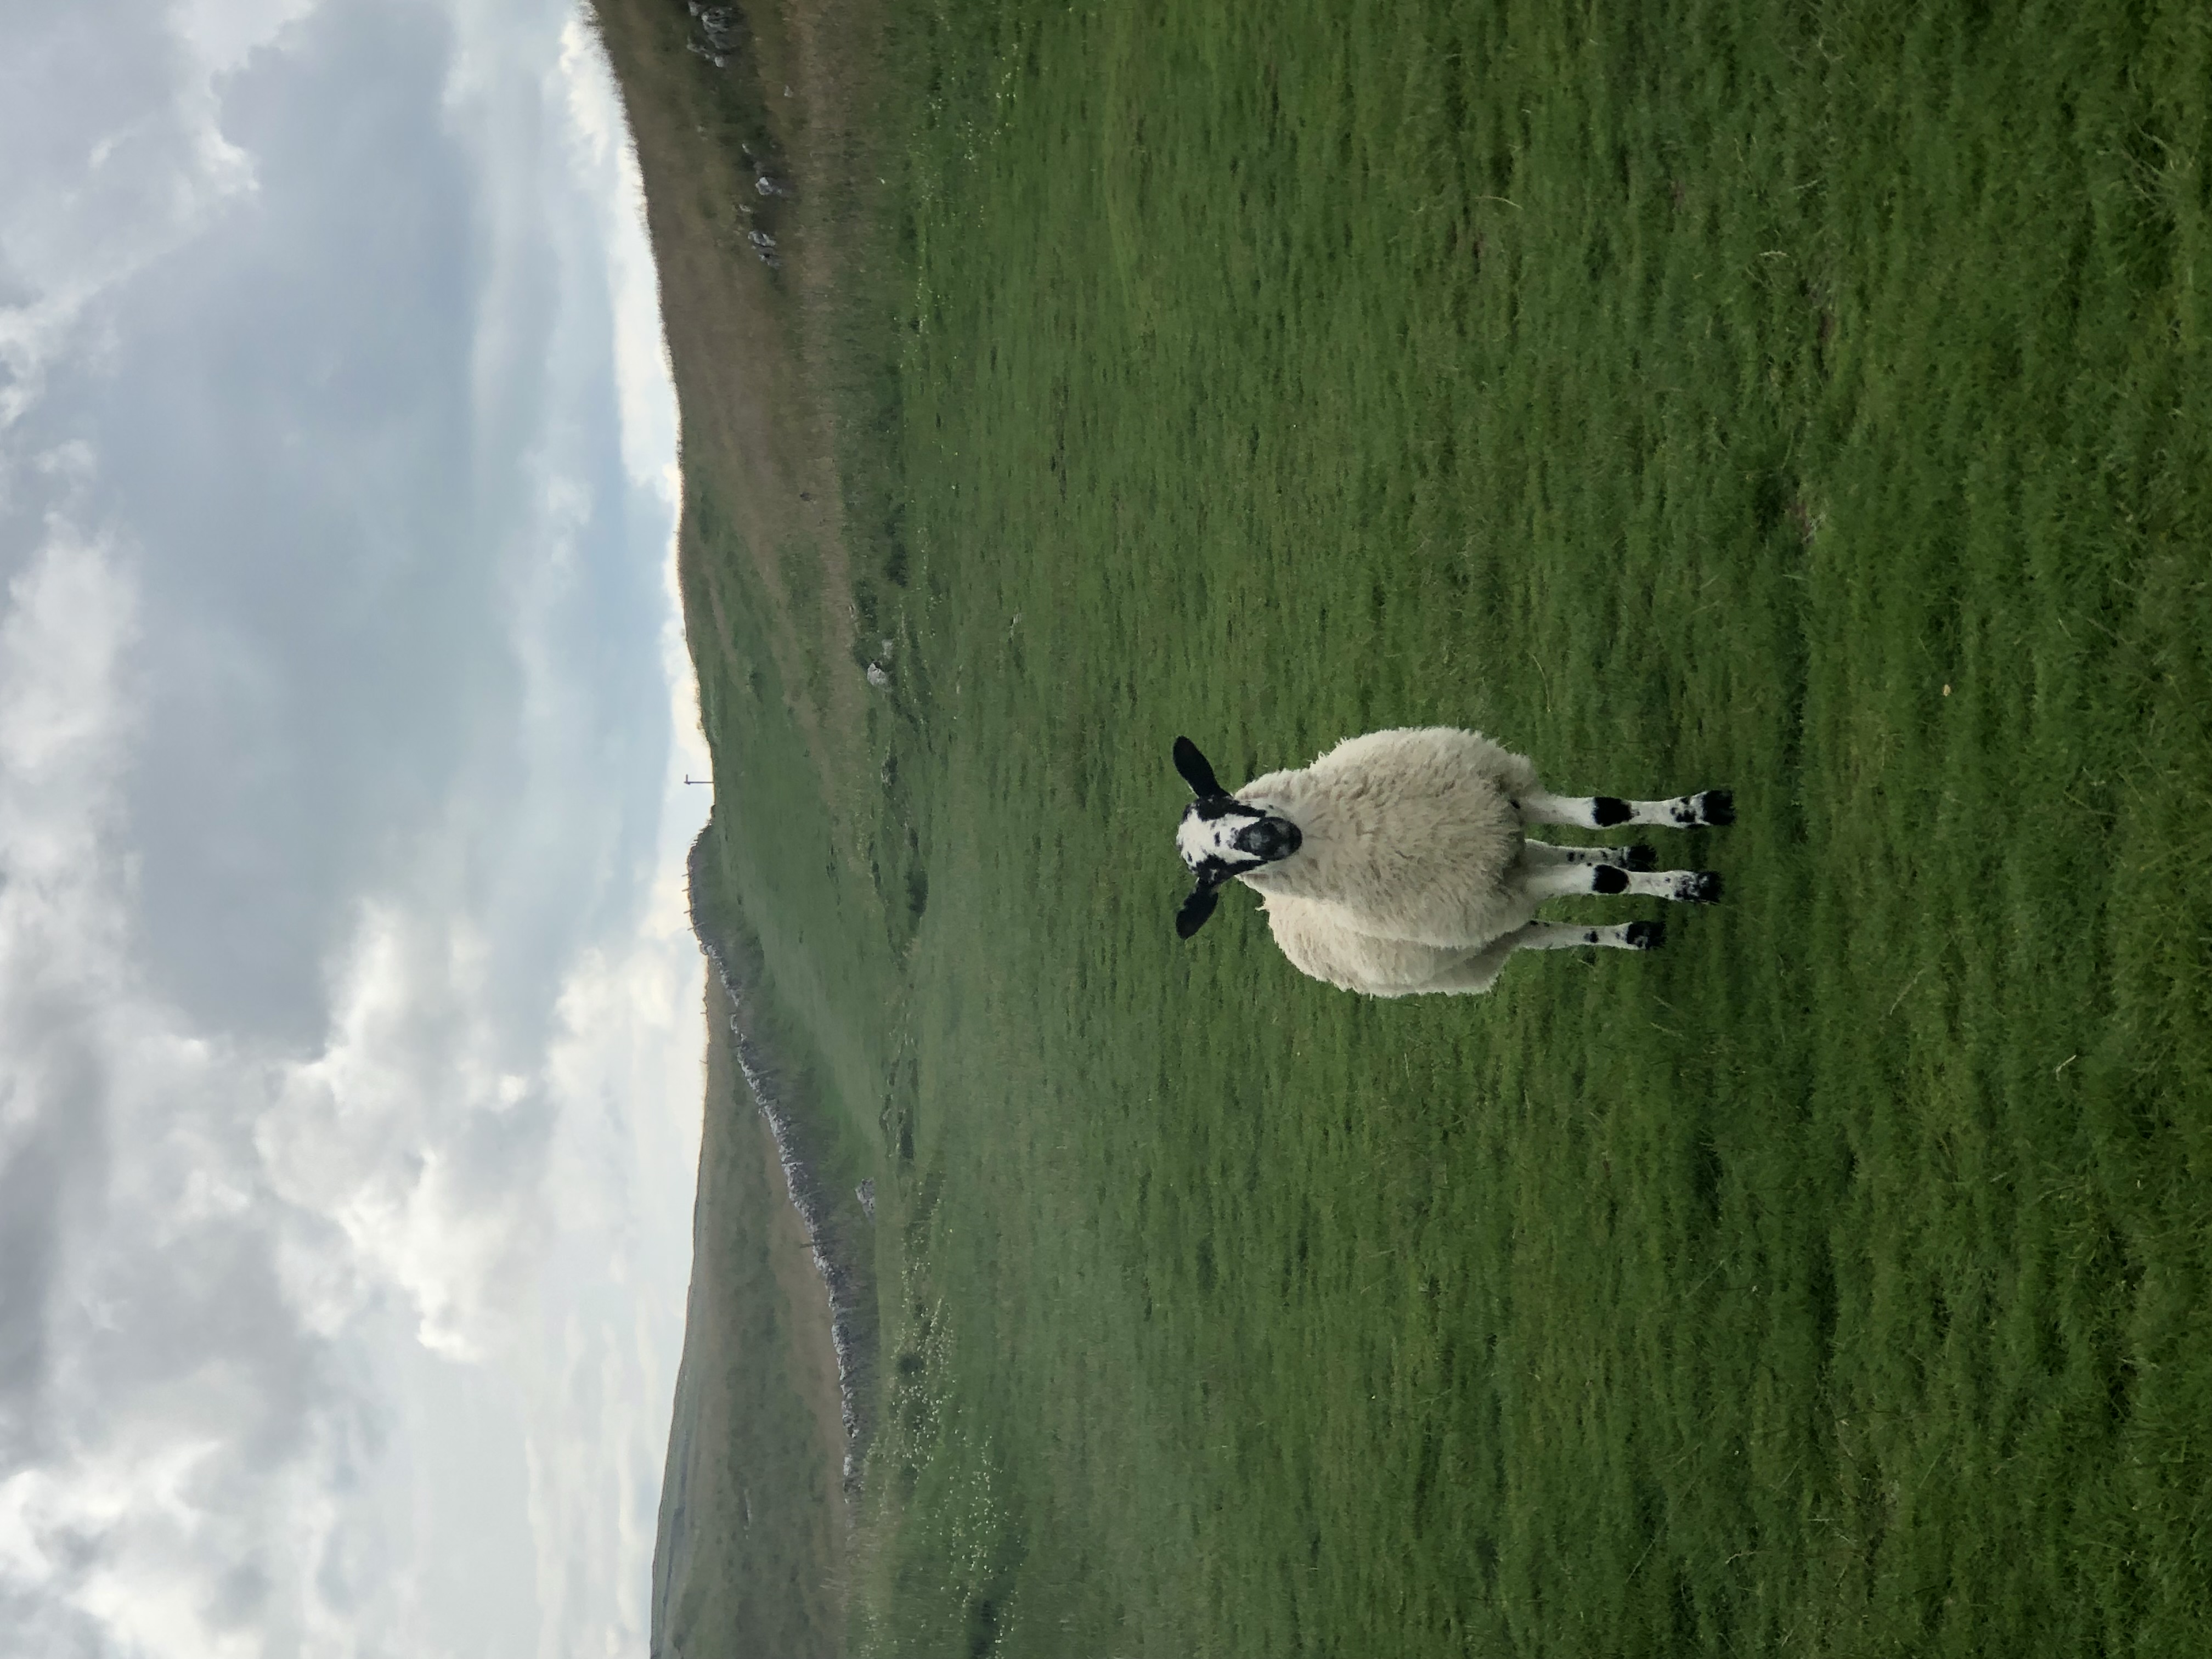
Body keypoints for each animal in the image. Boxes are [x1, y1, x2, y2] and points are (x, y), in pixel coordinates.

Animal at [1171, 728, 1731, 997]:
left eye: (1222, 799)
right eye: (1216, 874)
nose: (1267, 839)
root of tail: (1276, 915)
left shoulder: (1508, 795)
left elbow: (1603, 812)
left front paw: (1700, 810)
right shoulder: (1505, 890)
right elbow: (1605, 880)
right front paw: (1692, 886)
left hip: (1505, 849)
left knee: (1557, 852)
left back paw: (1635, 859)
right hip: (1494, 933)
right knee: (1564, 929)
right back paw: (1635, 932)